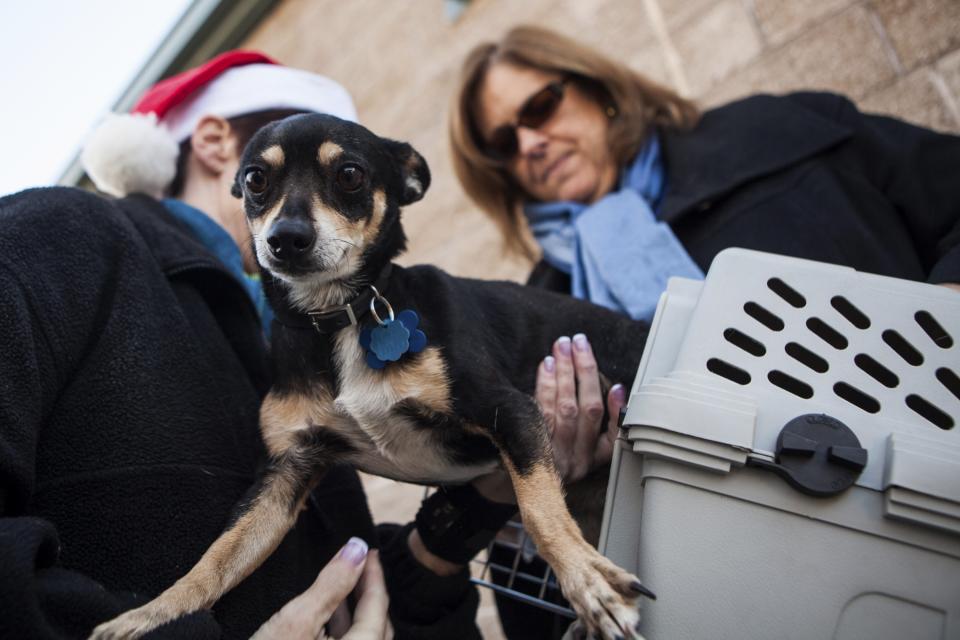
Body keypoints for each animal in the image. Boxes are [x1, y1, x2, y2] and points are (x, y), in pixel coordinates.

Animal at [92, 115, 652, 640]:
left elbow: (539, 509)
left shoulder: (509, 410)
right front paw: (150, 615)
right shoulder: (286, 472)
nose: (285, 239)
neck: (340, 318)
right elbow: (218, 556)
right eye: (255, 179)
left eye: (350, 175)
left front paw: (589, 584)